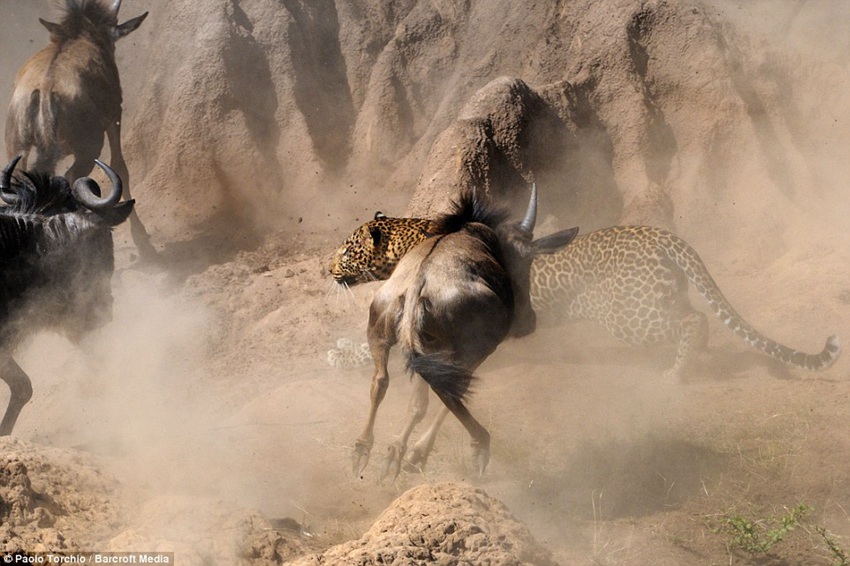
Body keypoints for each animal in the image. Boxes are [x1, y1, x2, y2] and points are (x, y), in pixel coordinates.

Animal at [328, 217, 840, 382]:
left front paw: (336, 354)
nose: (327, 269)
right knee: (697, 319)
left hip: (630, 315)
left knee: (694, 321)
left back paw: (674, 375)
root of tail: (659, 233)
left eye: (346, 250)